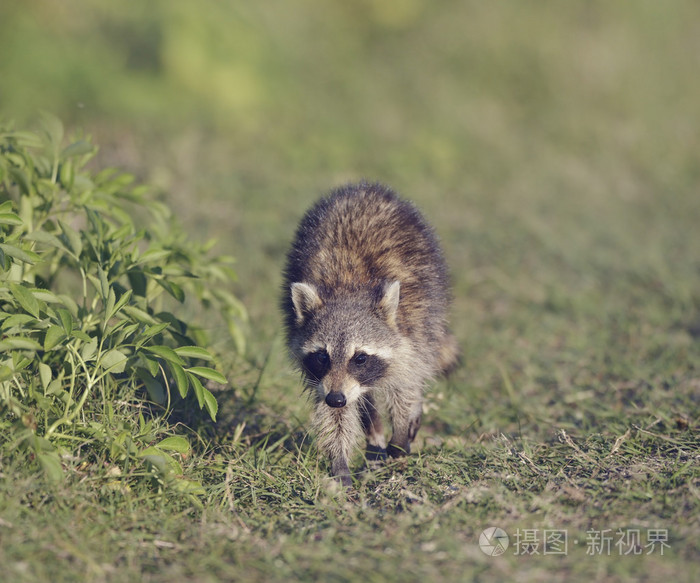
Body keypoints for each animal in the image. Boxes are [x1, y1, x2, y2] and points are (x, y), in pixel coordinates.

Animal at [280, 182, 460, 488]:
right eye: (322, 357)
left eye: (360, 358)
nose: (336, 398)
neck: (347, 289)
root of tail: (365, 187)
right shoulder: (324, 377)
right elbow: (336, 416)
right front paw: (340, 462)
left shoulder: (411, 329)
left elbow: (406, 383)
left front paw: (400, 432)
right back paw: (373, 432)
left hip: (431, 295)